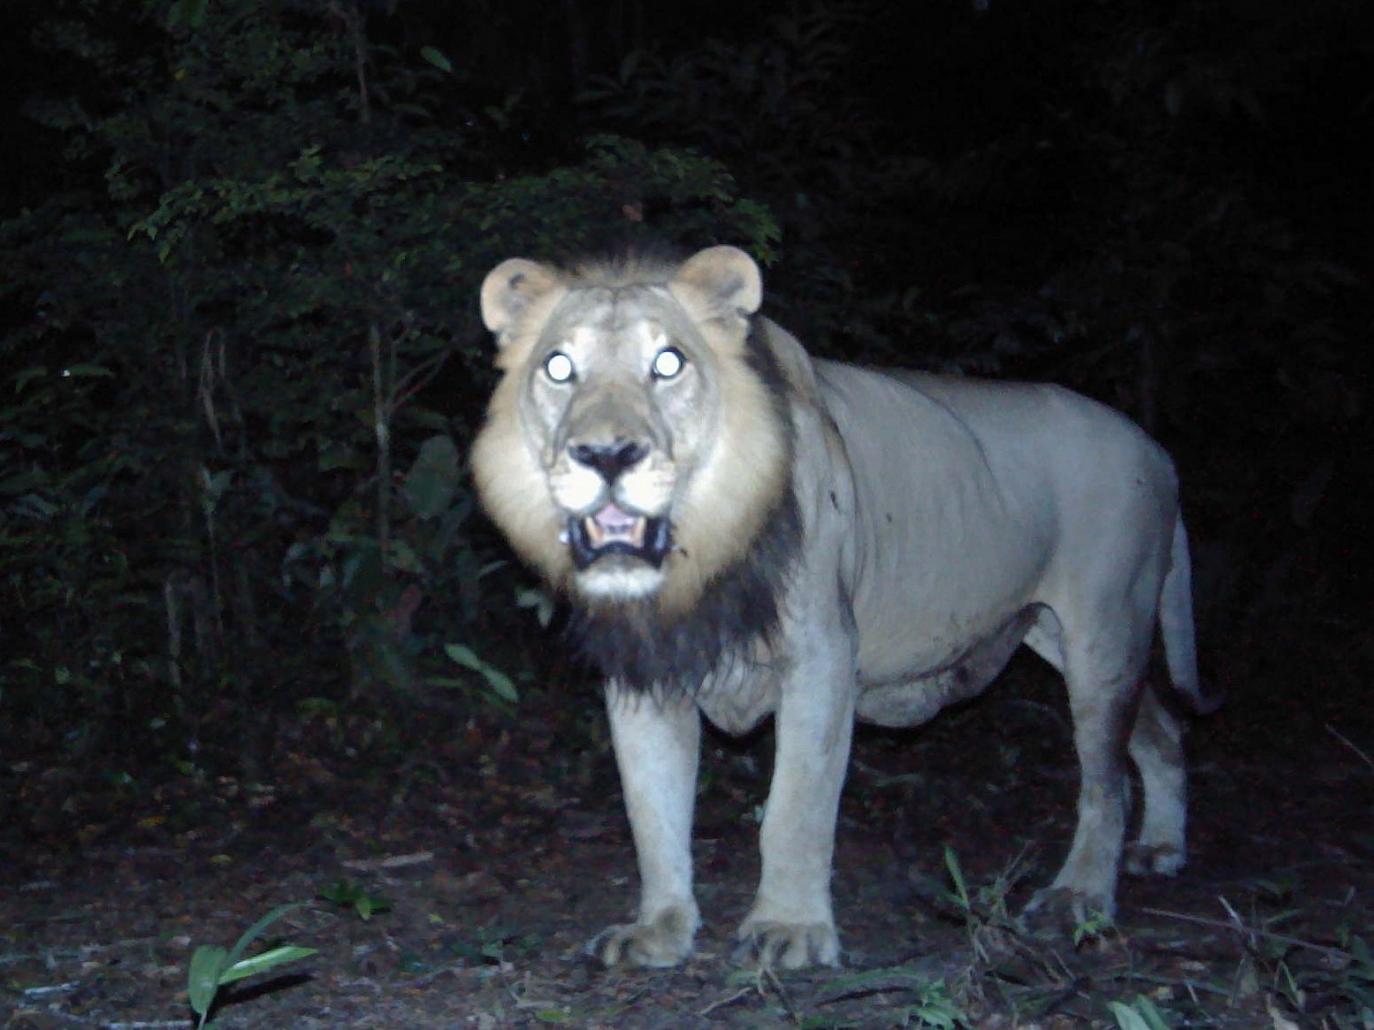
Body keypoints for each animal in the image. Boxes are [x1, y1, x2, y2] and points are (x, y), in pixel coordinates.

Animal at [470, 245, 1217, 969]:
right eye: (559, 367)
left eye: (669, 363)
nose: (606, 454)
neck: (694, 559)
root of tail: (1156, 450)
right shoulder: (643, 674)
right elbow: (652, 809)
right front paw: (658, 932)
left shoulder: (823, 653)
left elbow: (796, 804)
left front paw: (789, 930)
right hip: (1060, 636)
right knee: (1160, 731)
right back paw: (1160, 848)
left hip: (1103, 634)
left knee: (1106, 780)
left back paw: (1079, 898)